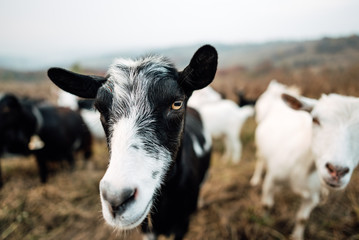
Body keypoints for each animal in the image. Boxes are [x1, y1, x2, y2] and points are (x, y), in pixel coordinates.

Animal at [253, 88, 359, 240]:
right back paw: (255, 179)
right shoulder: (271, 180)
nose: (337, 170)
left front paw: (296, 236)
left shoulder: (313, 196)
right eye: (315, 120)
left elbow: (302, 219)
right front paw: (263, 224)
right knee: (260, 158)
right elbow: (267, 205)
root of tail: (277, 88)